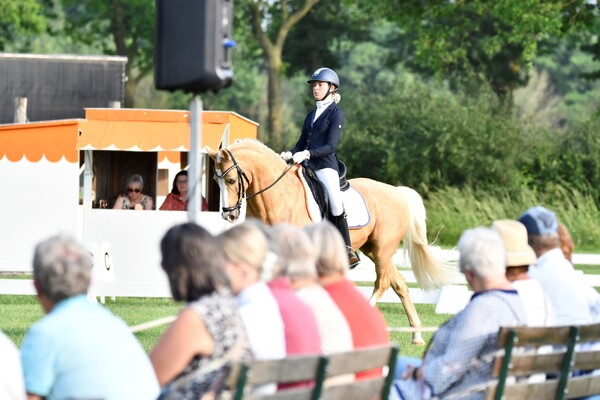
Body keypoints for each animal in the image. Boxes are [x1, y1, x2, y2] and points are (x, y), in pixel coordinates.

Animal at [207, 138, 454, 344]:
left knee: (382, 283)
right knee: (399, 283)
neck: (277, 198)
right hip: (373, 250)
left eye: (231, 180)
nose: (229, 215)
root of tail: (397, 192)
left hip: (383, 248)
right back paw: (417, 336)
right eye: (215, 181)